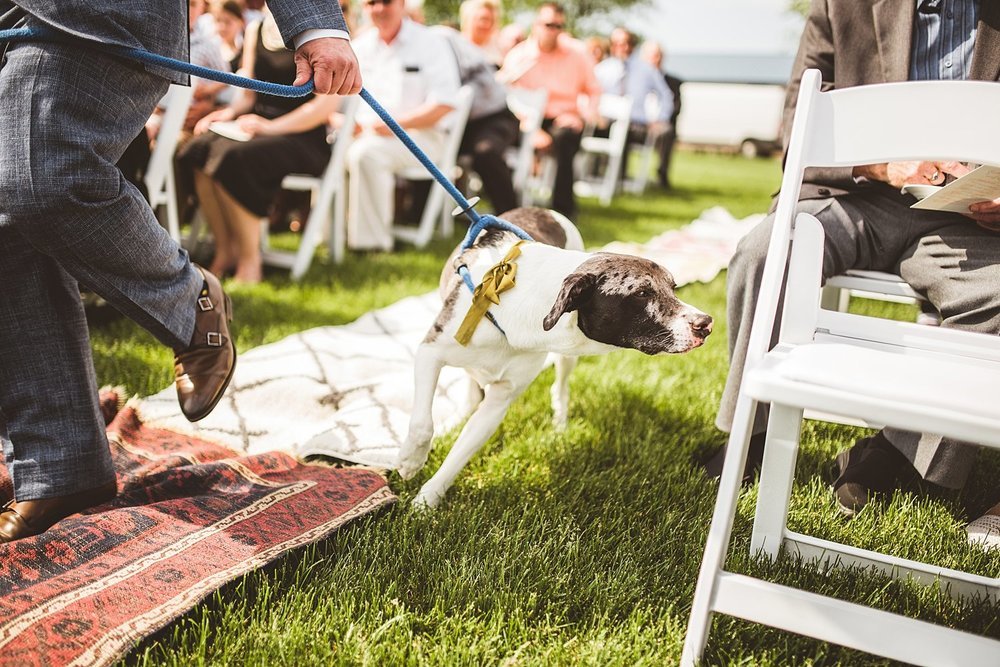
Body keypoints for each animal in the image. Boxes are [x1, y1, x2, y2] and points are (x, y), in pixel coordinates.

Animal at [398, 206, 712, 508]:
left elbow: (459, 455)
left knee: (559, 389)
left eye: (673, 287)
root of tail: (544, 209)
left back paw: (559, 425)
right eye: (642, 293)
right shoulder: (430, 351)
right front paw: (412, 462)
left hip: (565, 358)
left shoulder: (500, 401)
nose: (706, 323)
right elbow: (422, 423)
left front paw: (427, 500)